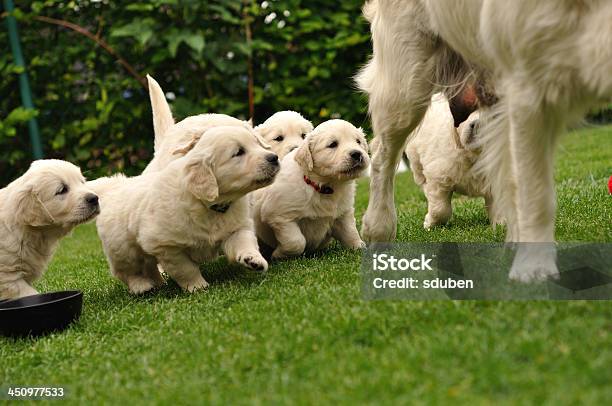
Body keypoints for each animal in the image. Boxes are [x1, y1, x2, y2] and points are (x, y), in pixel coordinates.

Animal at [89, 125, 280, 294]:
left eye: (256, 143)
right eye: (238, 152)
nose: (274, 157)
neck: (210, 206)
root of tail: (113, 186)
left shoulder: (236, 228)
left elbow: (245, 242)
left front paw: (253, 260)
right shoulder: (166, 246)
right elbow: (185, 269)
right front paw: (197, 287)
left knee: (149, 266)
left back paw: (158, 283)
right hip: (123, 249)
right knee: (127, 271)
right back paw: (141, 286)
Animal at [404, 93, 494, 230]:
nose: (477, 124)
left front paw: (500, 225)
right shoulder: (439, 178)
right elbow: (440, 209)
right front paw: (430, 224)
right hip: (414, 150)